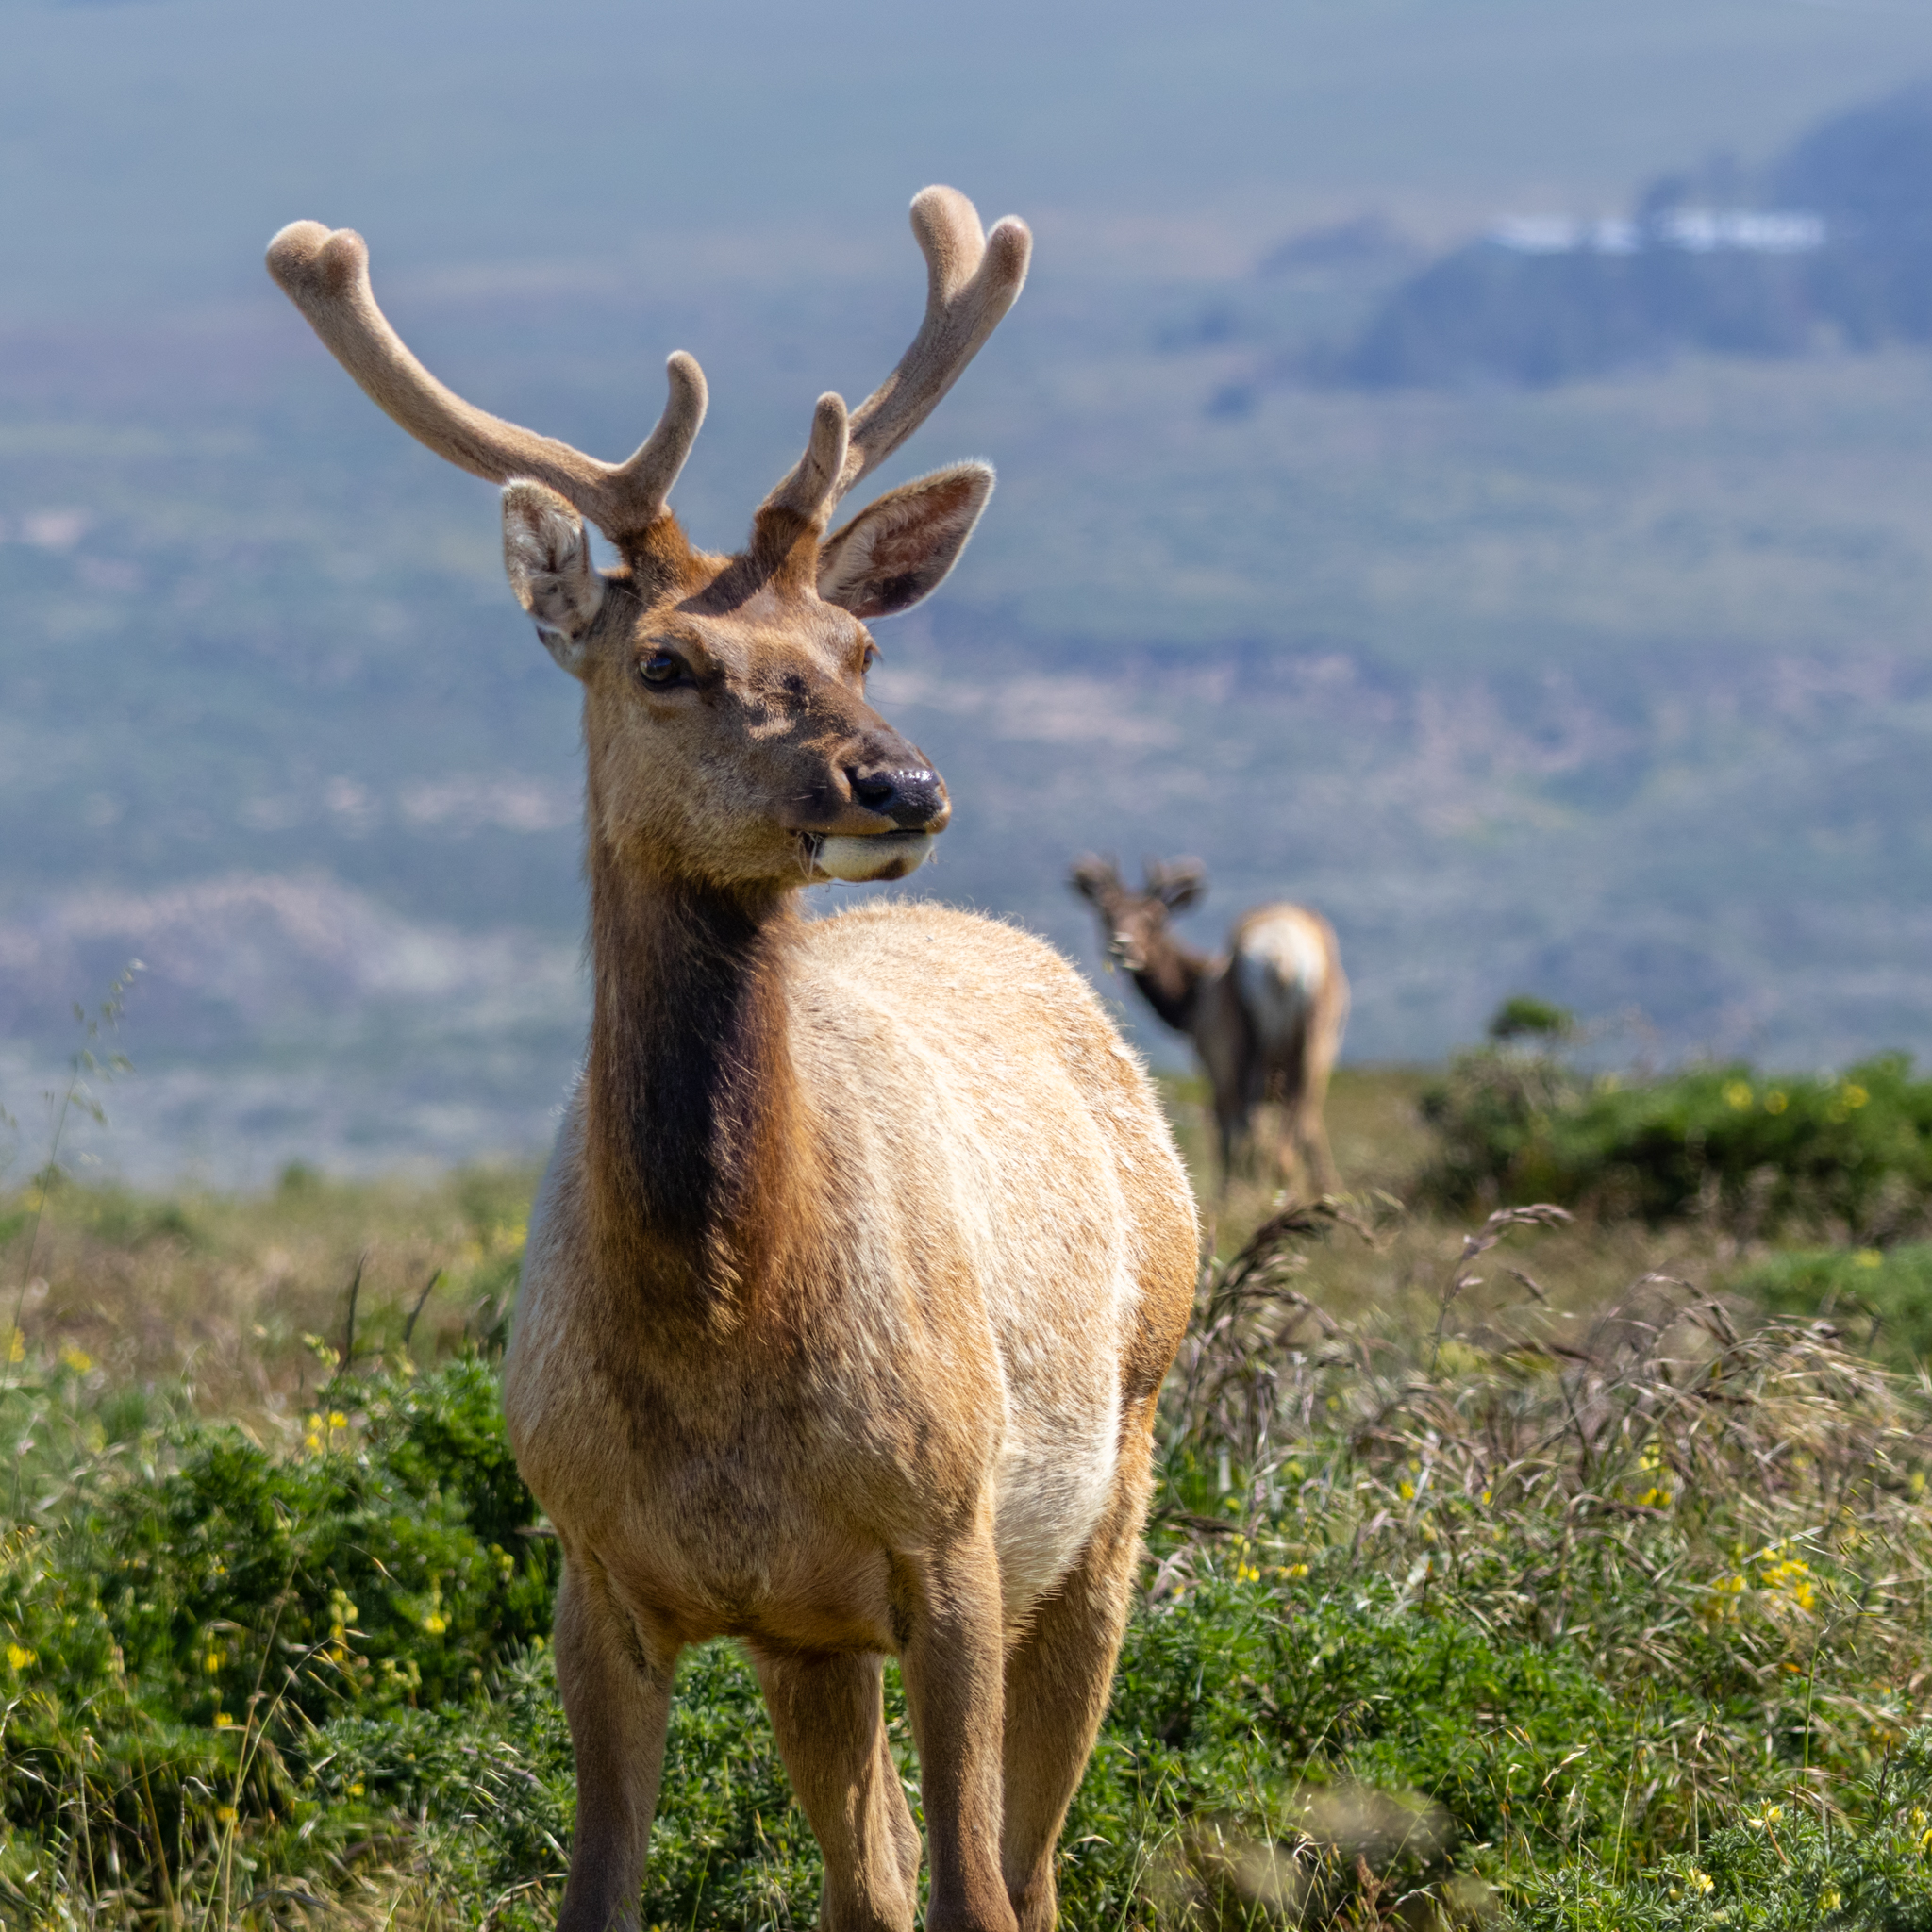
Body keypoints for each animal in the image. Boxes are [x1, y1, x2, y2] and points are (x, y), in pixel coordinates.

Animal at [267, 188, 1199, 1932]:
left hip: (1118, 1473)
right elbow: (609, 1893)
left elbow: (977, 1891)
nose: (900, 784)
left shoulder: (948, 1535)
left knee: (1029, 1867)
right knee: (869, 1871)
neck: (718, 1343)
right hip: (812, 1637)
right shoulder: (592, 1567)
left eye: (855, 643)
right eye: (663, 662)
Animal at [1069, 857, 1349, 1196]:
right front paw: (1329, 1190)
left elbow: (1224, 1130)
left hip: (1240, 1045)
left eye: (1156, 918)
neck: (1190, 1002)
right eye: (1107, 914)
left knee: (1246, 1123)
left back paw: (1248, 1194)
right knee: (1300, 1114)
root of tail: (1280, 957)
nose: (1123, 946)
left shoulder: (1210, 1055)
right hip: (1317, 1037)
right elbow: (1313, 1134)